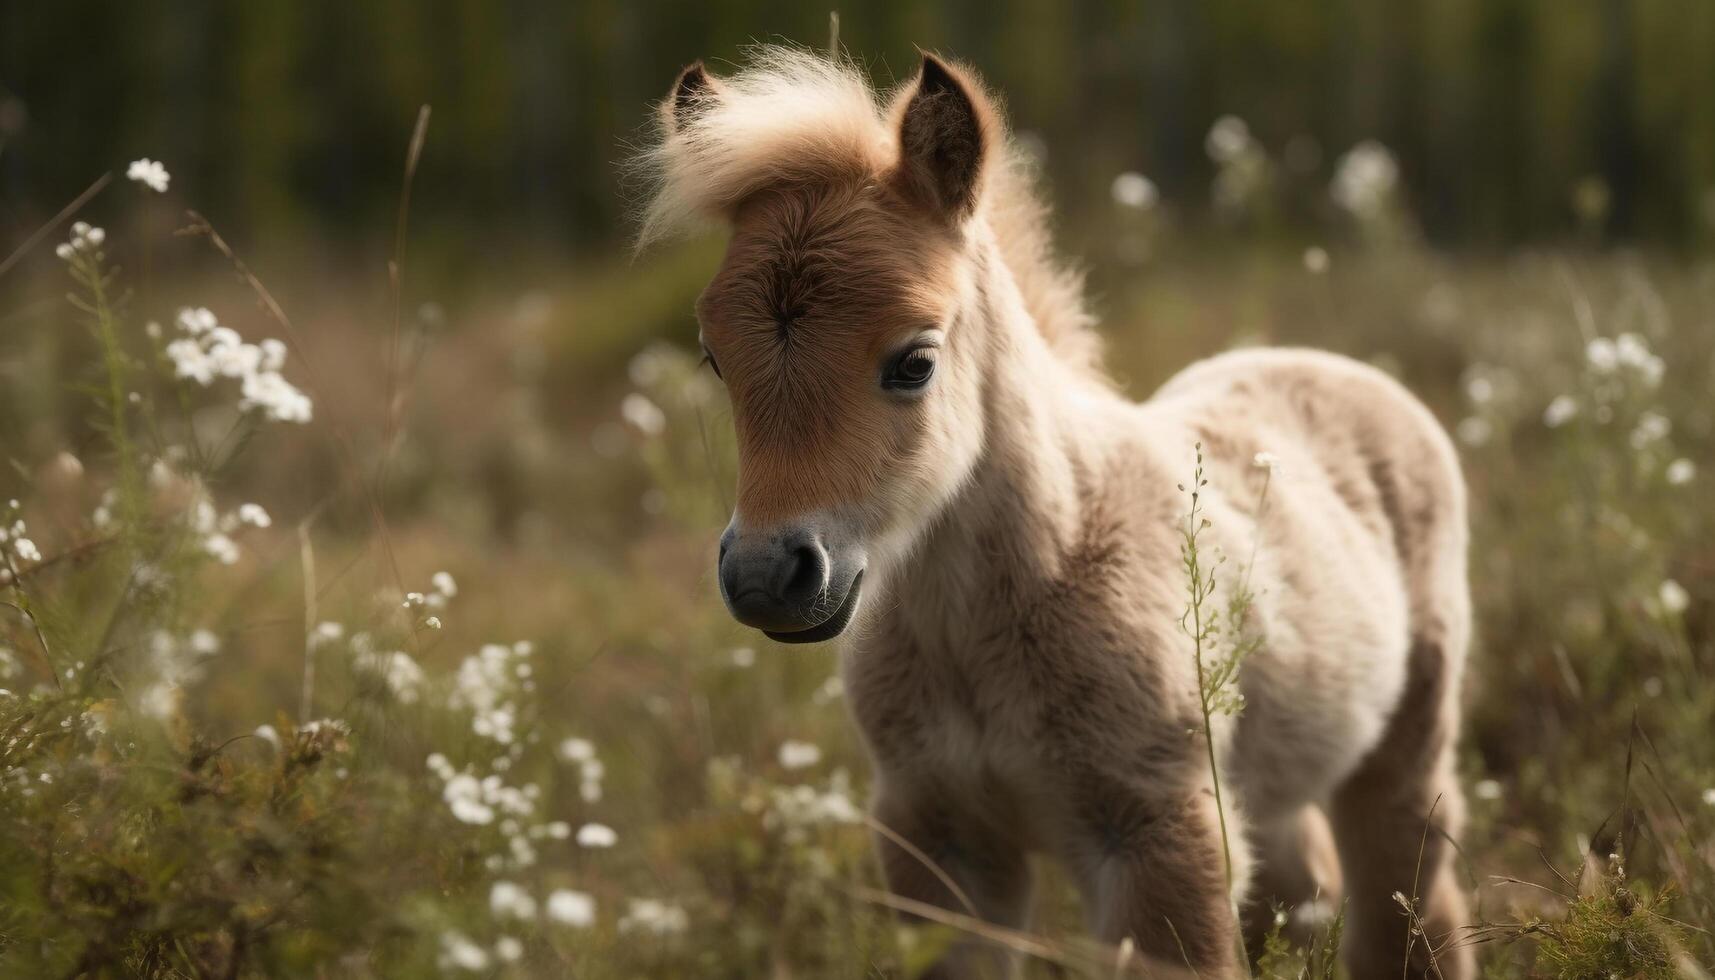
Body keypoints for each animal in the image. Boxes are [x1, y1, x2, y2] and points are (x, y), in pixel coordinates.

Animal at [637, 47, 1468, 980]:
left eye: (913, 361)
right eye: (714, 359)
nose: (767, 578)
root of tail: (1323, 364)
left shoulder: (1157, 837)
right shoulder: (940, 844)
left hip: (1405, 751)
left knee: (1413, 904)